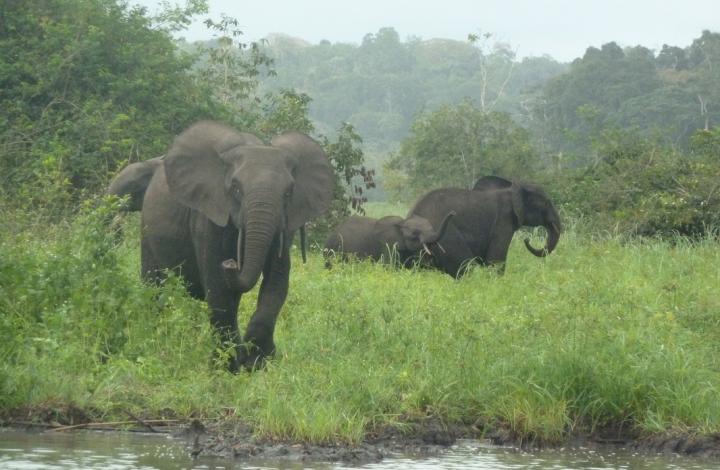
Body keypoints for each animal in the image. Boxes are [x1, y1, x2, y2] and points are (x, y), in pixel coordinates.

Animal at [108, 120, 334, 371]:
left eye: (288, 193)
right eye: (235, 188)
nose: (231, 263)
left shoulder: (285, 223)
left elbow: (276, 281)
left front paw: (258, 362)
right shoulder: (208, 215)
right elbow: (217, 286)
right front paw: (229, 366)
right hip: (148, 232)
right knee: (154, 286)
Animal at [323, 212, 455, 266]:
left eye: (431, 227)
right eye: (415, 234)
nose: (453, 213)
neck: (402, 222)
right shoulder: (388, 245)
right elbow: (388, 267)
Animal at [407, 176, 561, 277]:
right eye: (547, 203)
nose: (527, 240)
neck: (513, 189)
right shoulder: (503, 221)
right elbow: (495, 260)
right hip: (446, 236)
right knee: (465, 267)